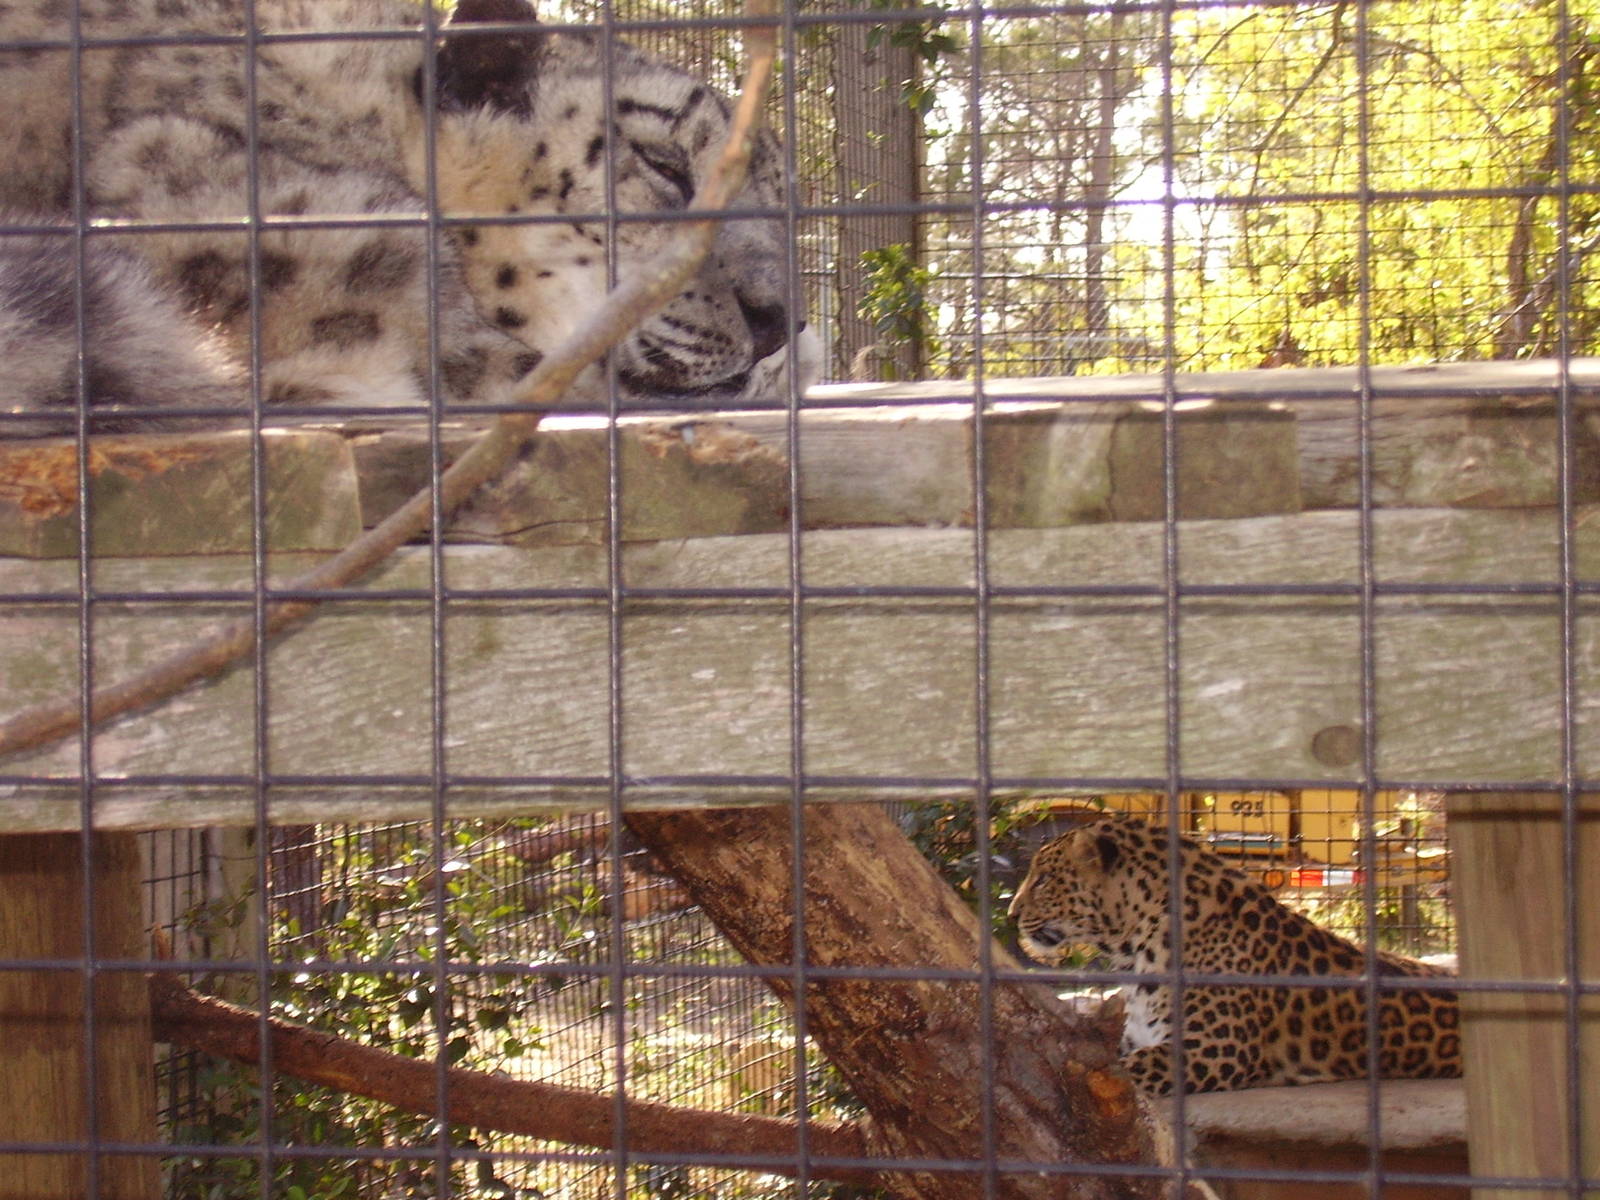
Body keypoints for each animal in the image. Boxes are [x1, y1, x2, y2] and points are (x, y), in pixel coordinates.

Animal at [1008, 814, 1461, 1095]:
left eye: (1044, 879)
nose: (1011, 914)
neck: (1136, 948)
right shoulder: (1131, 1038)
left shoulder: (1211, 1050)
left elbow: (1125, 1073)